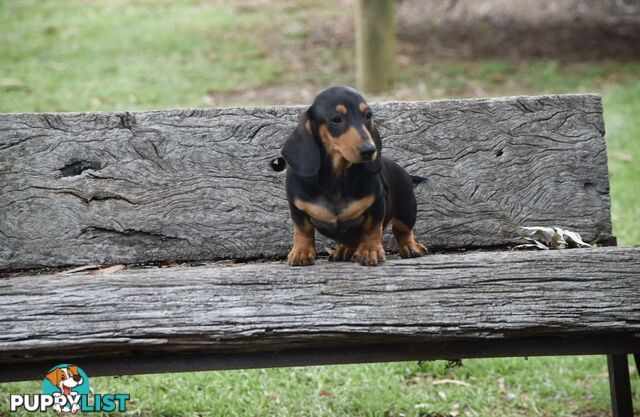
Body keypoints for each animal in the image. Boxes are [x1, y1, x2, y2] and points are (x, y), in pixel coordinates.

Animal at [282, 85, 428, 264]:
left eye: (368, 115)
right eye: (336, 119)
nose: (370, 150)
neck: (337, 178)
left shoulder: (376, 204)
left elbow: (372, 229)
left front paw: (370, 251)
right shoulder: (297, 207)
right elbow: (303, 230)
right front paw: (301, 252)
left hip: (406, 210)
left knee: (403, 230)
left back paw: (410, 247)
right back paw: (343, 250)